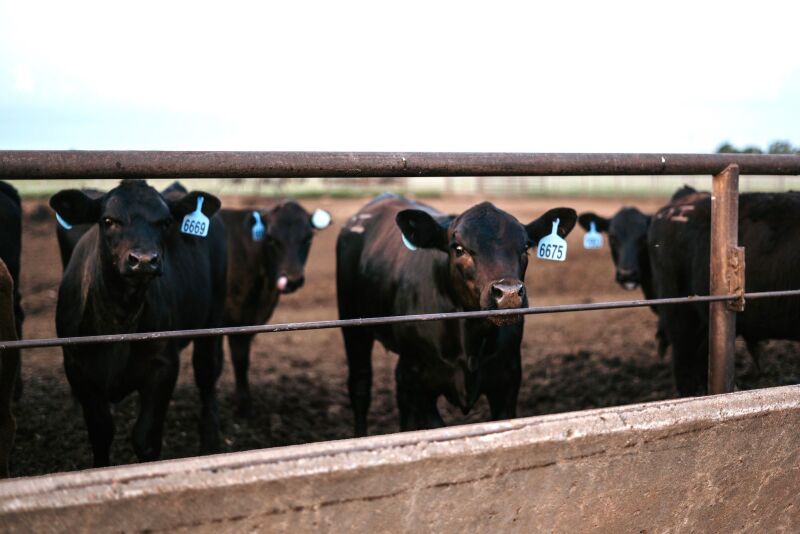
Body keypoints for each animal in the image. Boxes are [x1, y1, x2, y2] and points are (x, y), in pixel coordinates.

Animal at [50, 179, 227, 467]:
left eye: (166, 222)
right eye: (108, 220)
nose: (144, 260)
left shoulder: (163, 367)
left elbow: (145, 438)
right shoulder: (79, 369)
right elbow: (100, 433)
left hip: (213, 317)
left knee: (207, 374)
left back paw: (210, 440)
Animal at [218, 201, 331, 417]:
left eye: (308, 237)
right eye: (271, 238)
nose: (293, 279)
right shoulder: (234, 318)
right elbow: (238, 358)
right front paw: (242, 405)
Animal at [336, 194, 577, 436]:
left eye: (526, 247)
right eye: (459, 249)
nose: (508, 294)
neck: (470, 342)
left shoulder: (508, 377)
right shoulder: (418, 381)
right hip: (353, 324)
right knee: (360, 385)